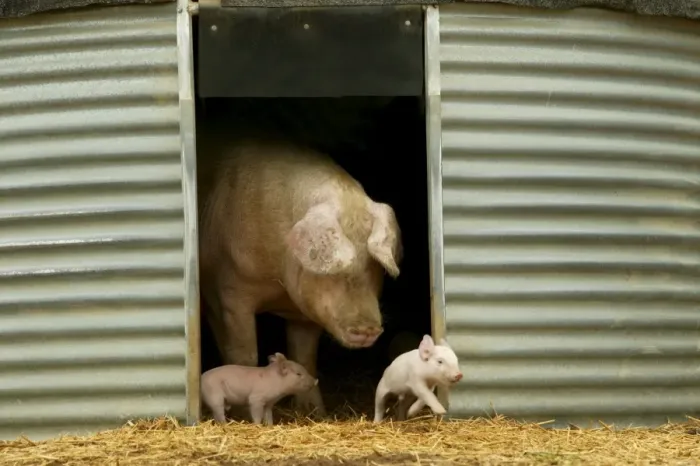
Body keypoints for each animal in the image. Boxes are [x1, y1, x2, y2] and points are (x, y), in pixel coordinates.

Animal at [198, 138, 403, 417]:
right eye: (336, 268)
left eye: (373, 265)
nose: (368, 329)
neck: (279, 288)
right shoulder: (231, 293)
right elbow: (244, 354)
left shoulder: (305, 312)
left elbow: (305, 356)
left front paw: (314, 413)